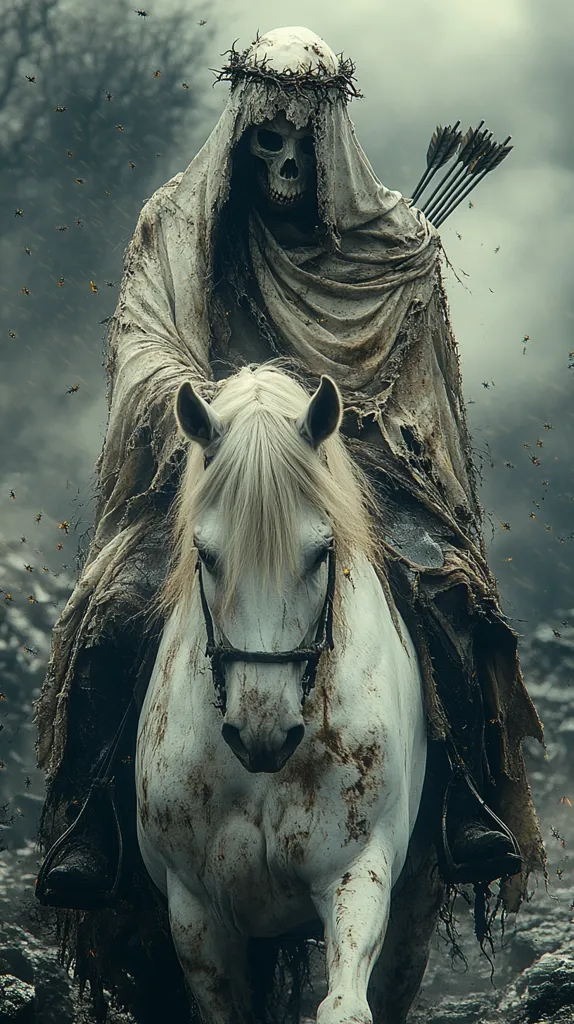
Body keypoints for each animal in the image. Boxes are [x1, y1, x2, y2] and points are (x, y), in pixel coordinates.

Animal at [135, 364, 444, 1024]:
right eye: (205, 554)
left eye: (322, 552)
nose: (263, 733)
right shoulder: (195, 915)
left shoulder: (357, 871)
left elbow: (346, 1004)